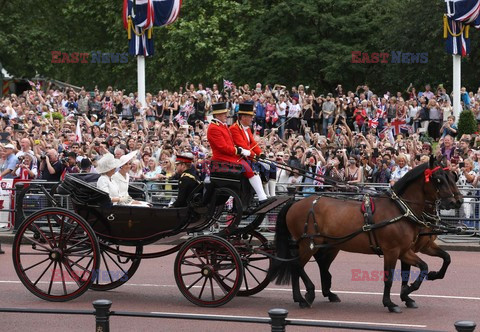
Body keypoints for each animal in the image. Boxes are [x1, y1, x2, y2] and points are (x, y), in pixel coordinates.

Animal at [270, 160, 462, 312]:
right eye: (439, 179)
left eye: (453, 178)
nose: (455, 201)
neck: (402, 210)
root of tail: (295, 203)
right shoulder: (392, 251)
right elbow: (390, 278)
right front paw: (391, 302)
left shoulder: (407, 250)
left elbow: (430, 264)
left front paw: (411, 290)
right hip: (308, 244)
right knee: (297, 265)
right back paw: (307, 294)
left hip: (326, 246)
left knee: (310, 266)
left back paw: (311, 296)